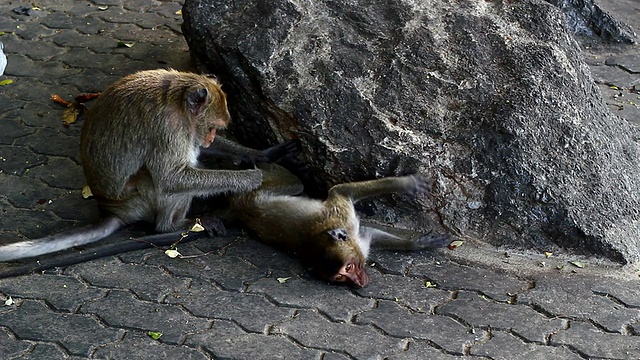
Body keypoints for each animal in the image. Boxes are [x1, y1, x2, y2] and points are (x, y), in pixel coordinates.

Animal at [230, 165, 450, 286]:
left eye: (350, 267)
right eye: (341, 277)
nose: (358, 282)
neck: (318, 238)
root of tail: (240, 205)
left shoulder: (341, 213)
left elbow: (340, 190)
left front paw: (406, 184)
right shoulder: (354, 235)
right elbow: (369, 233)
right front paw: (417, 244)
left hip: (268, 185)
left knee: (294, 181)